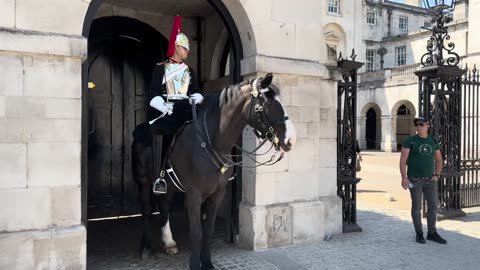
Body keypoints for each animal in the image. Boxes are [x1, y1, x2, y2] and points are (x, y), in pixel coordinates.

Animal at [131, 74, 296, 270]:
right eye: (269, 102)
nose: (291, 140)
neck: (214, 141)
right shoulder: (194, 195)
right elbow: (196, 232)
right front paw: (195, 264)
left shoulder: (217, 193)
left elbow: (208, 230)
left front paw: (207, 262)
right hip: (143, 181)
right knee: (147, 209)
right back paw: (145, 247)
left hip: (169, 185)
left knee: (164, 206)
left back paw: (169, 243)